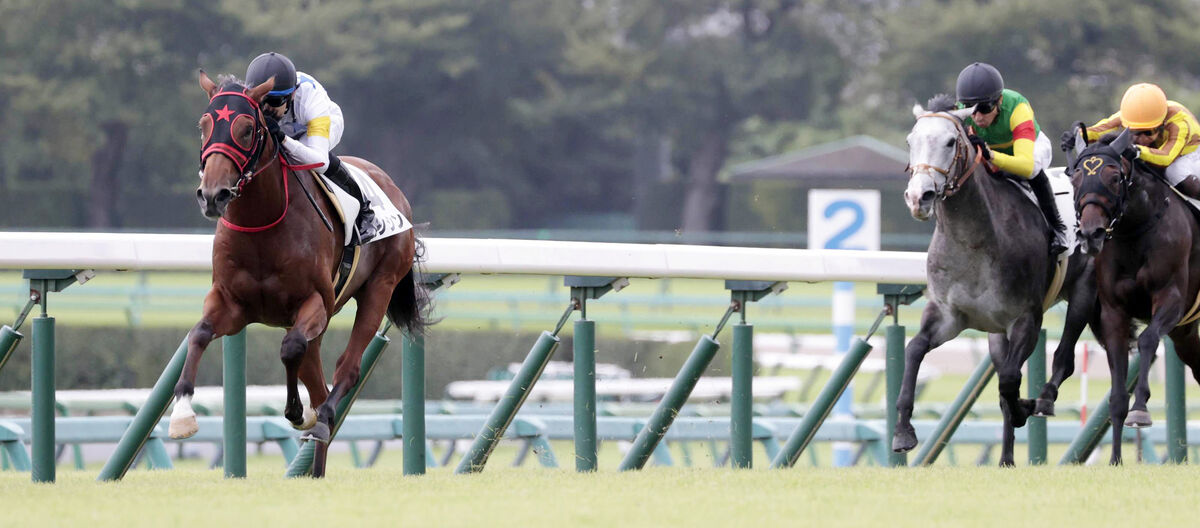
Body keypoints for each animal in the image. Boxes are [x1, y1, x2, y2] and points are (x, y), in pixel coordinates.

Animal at [168, 72, 432, 477]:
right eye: (204, 125)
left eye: (247, 129)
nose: (213, 195)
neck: (262, 226)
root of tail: (393, 189)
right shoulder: (231, 304)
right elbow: (198, 334)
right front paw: (182, 413)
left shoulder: (315, 304)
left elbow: (289, 346)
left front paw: (297, 412)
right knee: (319, 382)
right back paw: (316, 465)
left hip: (380, 286)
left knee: (345, 370)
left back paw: (319, 421)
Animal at [892, 99, 1099, 465]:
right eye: (910, 141)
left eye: (951, 142)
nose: (920, 197)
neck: (973, 241)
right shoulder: (949, 315)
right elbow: (914, 349)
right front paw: (903, 432)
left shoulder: (1026, 318)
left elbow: (1009, 380)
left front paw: (1025, 407)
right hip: (996, 332)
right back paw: (1006, 459)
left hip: (1084, 291)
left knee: (1065, 356)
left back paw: (1043, 400)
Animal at [1075, 130, 1200, 463]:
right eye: (1074, 176)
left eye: (1114, 176)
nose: (1090, 233)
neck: (1136, 230)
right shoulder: (1113, 313)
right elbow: (1117, 396)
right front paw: (1115, 459)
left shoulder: (1171, 298)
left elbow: (1147, 340)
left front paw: (1141, 410)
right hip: (1185, 334)